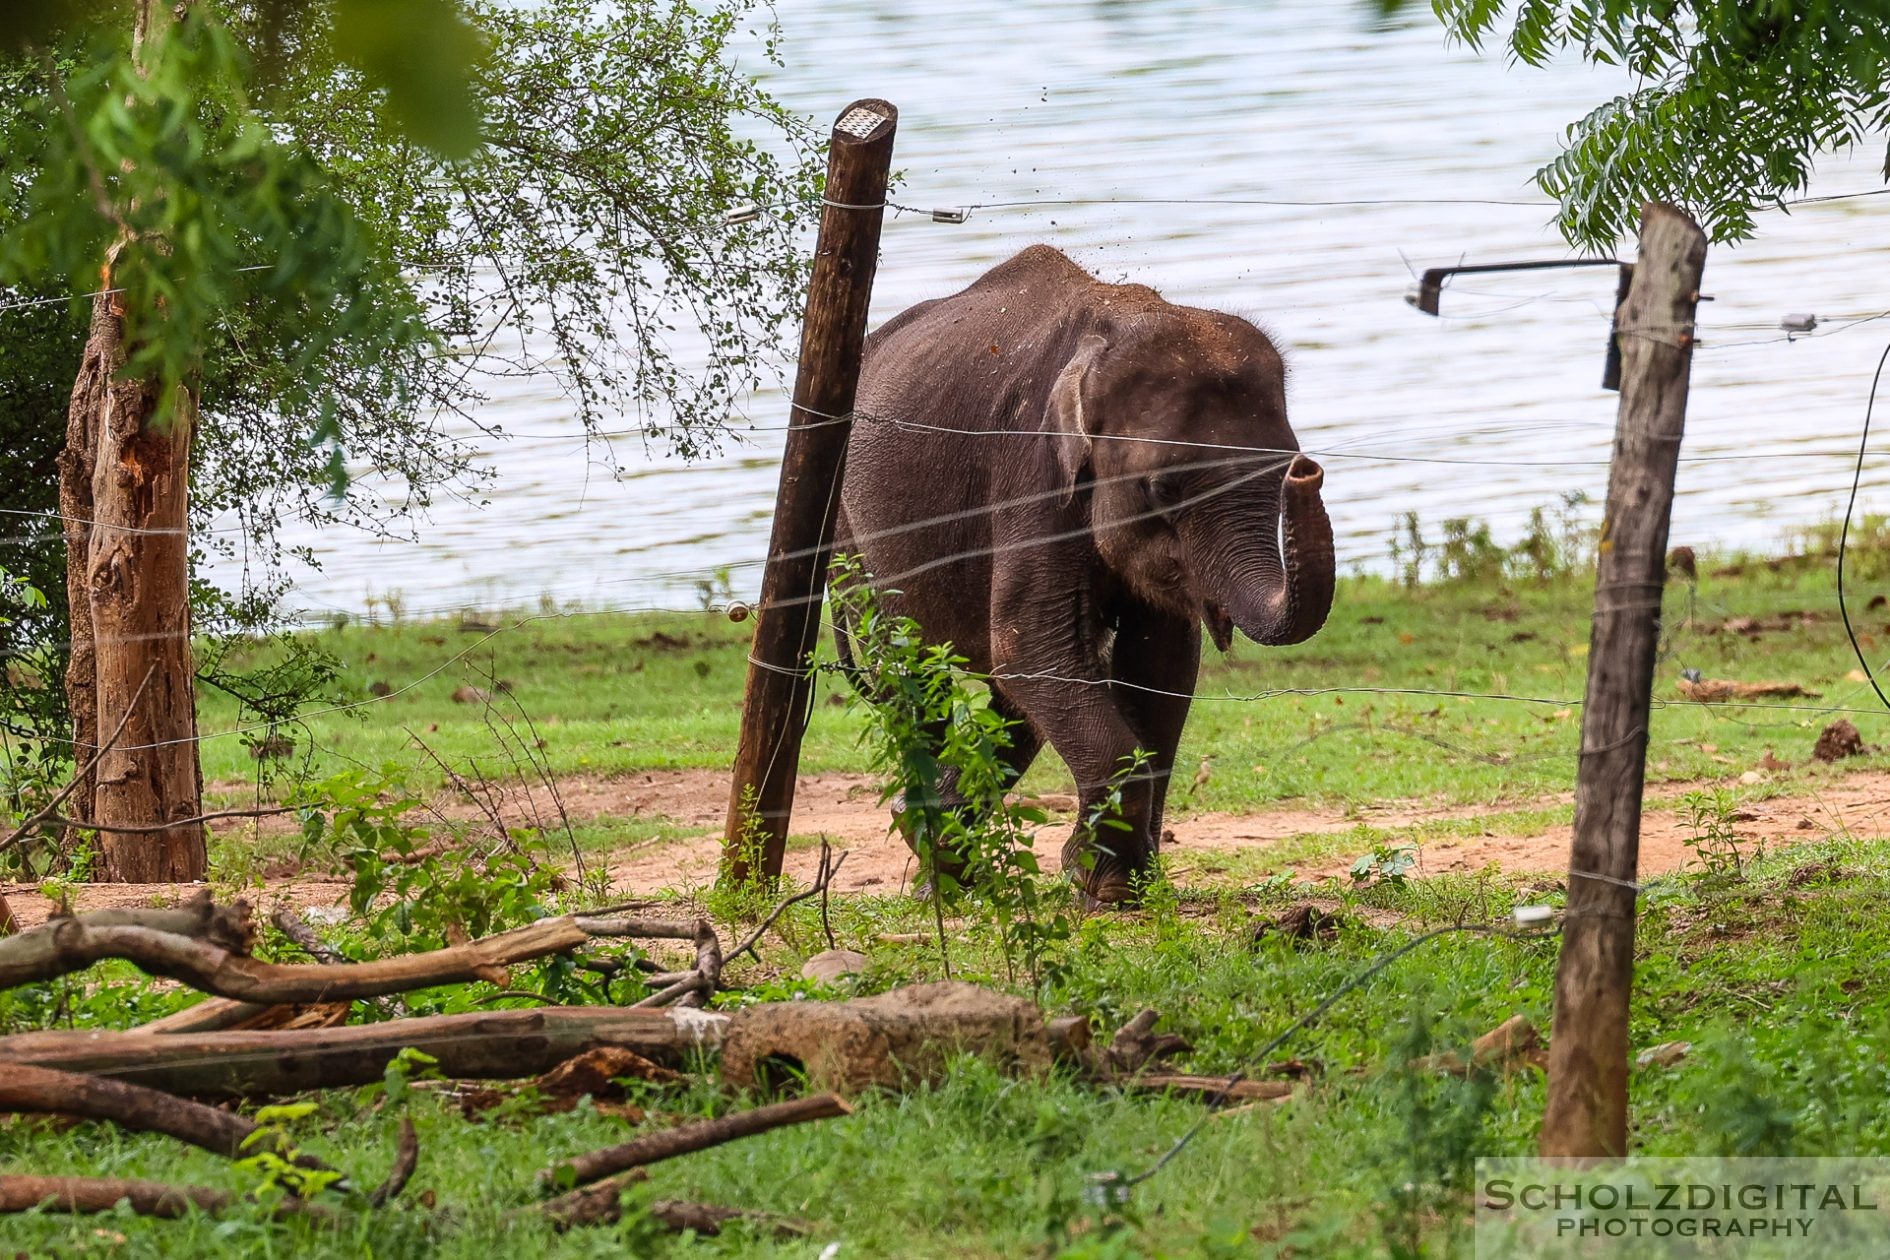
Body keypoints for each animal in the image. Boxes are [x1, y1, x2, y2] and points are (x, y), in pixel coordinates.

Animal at [835, 241, 1338, 902]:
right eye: (1162, 488)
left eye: (1283, 466)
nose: (1309, 471)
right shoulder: (1032, 472)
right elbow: (1027, 646)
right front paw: (1100, 881)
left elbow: (1160, 665)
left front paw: (1125, 881)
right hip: (851, 535)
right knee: (911, 671)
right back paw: (936, 863)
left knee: (1009, 702)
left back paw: (946, 860)